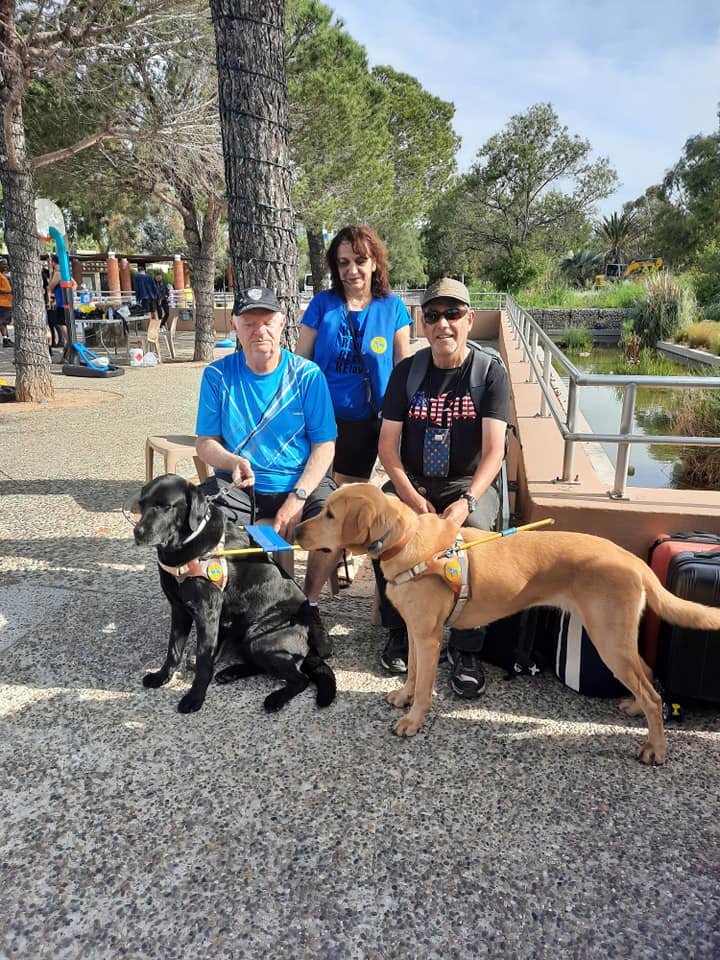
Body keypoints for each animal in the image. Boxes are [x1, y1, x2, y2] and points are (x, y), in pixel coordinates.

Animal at [134, 472, 336, 712]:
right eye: (142, 504)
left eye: (167, 507)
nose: (137, 532)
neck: (182, 549)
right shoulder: (179, 609)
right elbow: (173, 650)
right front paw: (162, 677)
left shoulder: (207, 613)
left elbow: (203, 660)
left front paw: (195, 698)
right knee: (261, 666)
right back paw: (231, 672)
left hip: (260, 637)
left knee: (300, 678)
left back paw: (275, 698)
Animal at [296, 484, 720, 760]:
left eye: (330, 513)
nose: (297, 530)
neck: (405, 543)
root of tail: (631, 559)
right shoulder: (417, 633)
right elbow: (412, 672)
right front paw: (403, 697)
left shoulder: (429, 637)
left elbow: (425, 686)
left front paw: (413, 720)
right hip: (616, 640)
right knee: (647, 676)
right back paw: (635, 710)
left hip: (608, 639)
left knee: (652, 693)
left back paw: (655, 748)